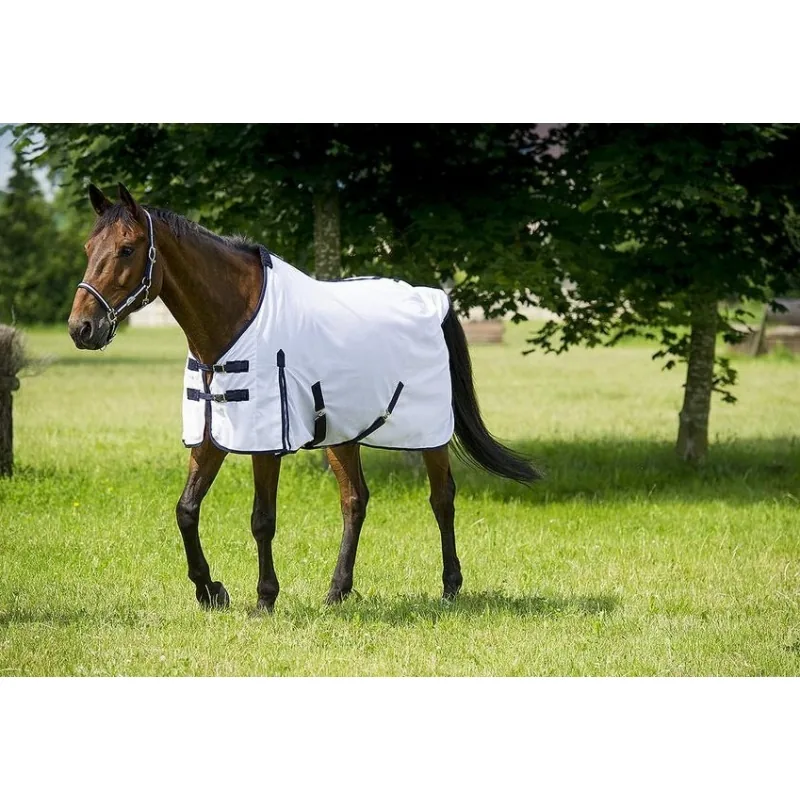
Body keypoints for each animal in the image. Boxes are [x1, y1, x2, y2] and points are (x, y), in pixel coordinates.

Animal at [68, 183, 540, 611]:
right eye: (88, 247)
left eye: (127, 249)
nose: (81, 328)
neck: (232, 320)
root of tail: (433, 299)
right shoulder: (211, 434)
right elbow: (186, 510)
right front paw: (210, 591)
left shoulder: (265, 441)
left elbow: (262, 519)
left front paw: (264, 597)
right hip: (343, 433)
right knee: (355, 501)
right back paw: (337, 591)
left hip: (428, 433)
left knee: (442, 498)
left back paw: (450, 586)